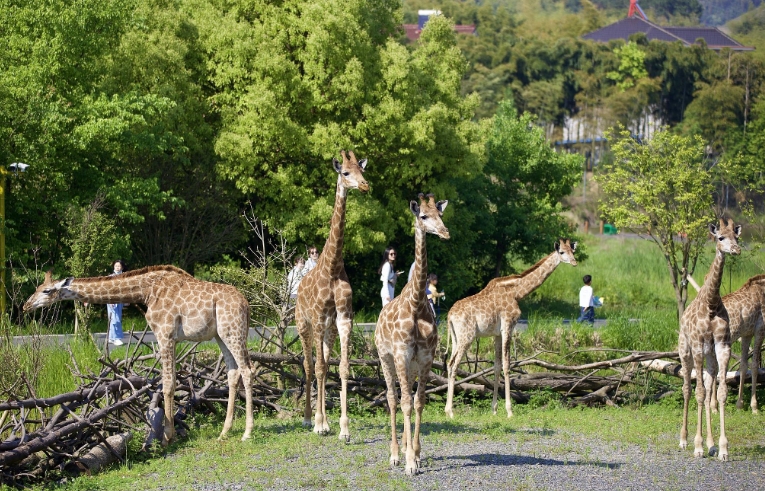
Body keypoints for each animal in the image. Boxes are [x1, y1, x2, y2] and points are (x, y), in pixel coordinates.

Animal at [21, 266, 251, 446]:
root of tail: (246, 304)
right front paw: (169, 434)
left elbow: (168, 384)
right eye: (37, 288)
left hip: (233, 332)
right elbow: (169, 382)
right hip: (221, 335)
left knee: (247, 370)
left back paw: (247, 432)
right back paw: (225, 432)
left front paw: (167, 437)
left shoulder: (165, 334)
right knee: (233, 373)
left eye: (46, 290)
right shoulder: (169, 338)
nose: (26, 305)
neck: (146, 292)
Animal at [294, 150, 368, 442]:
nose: (365, 186)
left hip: (327, 330)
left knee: (323, 364)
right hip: (304, 325)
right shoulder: (317, 318)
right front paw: (318, 423)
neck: (333, 267)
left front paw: (343, 429)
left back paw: (323, 420)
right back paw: (309, 419)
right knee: (309, 364)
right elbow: (318, 367)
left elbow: (342, 367)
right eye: (345, 173)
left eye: (362, 170)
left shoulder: (343, 319)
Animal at [374, 193, 450, 476]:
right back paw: (395, 454)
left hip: (412, 366)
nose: (445, 232)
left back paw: (407, 450)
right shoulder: (401, 354)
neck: (417, 304)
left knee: (406, 397)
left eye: (441, 215)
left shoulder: (426, 358)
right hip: (386, 357)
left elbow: (418, 402)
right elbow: (404, 402)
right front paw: (407, 462)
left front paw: (416, 456)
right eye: (424, 216)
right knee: (392, 398)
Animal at [442, 239, 580, 418]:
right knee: (454, 365)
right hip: (467, 336)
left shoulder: (496, 334)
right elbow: (507, 365)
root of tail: (450, 316)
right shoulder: (508, 325)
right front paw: (509, 411)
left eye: (572, 251)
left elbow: (496, 366)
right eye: (562, 252)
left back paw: (448, 409)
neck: (517, 292)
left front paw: (494, 409)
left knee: (450, 363)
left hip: (455, 337)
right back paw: (451, 411)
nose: (575, 262)